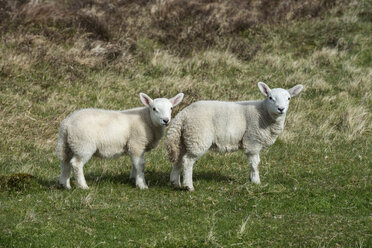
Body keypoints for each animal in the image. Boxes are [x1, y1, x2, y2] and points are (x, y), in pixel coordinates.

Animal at [56, 93, 185, 190]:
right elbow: (141, 164)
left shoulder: (135, 147)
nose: (166, 120)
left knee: (65, 162)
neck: (147, 120)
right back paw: (83, 186)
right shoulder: (136, 143)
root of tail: (67, 124)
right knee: (76, 164)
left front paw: (133, 178)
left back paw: (65, 184)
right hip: (83, 145)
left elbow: (135, 163)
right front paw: (141, 184)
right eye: (154, 109)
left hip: (68, 144)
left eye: (171, 108)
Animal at [167, 82, 304, 191]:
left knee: (179, 159)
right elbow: (255, 163)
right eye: (270, 97)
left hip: (184, 139)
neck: (264, 114)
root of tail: (183, 114)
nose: (281, 109)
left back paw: (175, 183)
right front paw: (256, 182)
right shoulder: (252, 140)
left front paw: (251, 179)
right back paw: (188, 186)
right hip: (197, 137)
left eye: (289, 98)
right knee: (187, 161)